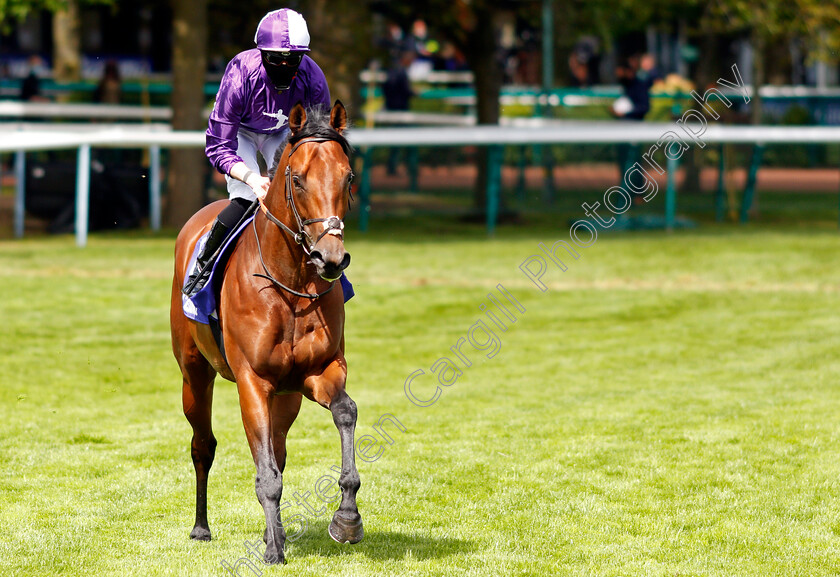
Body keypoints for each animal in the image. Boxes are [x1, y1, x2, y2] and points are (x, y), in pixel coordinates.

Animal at [171, 100, 364, 564]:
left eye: (348, 176)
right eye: (297, 179)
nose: (331, 258)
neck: (289, 281)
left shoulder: (318, 372)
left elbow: (346, 412)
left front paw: (346, 518)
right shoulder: (252, 382)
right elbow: (266, 474)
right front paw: (275, 548)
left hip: (287, 395)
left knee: (279, 447)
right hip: (194, 373)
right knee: (202, 445)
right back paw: (201, 527)